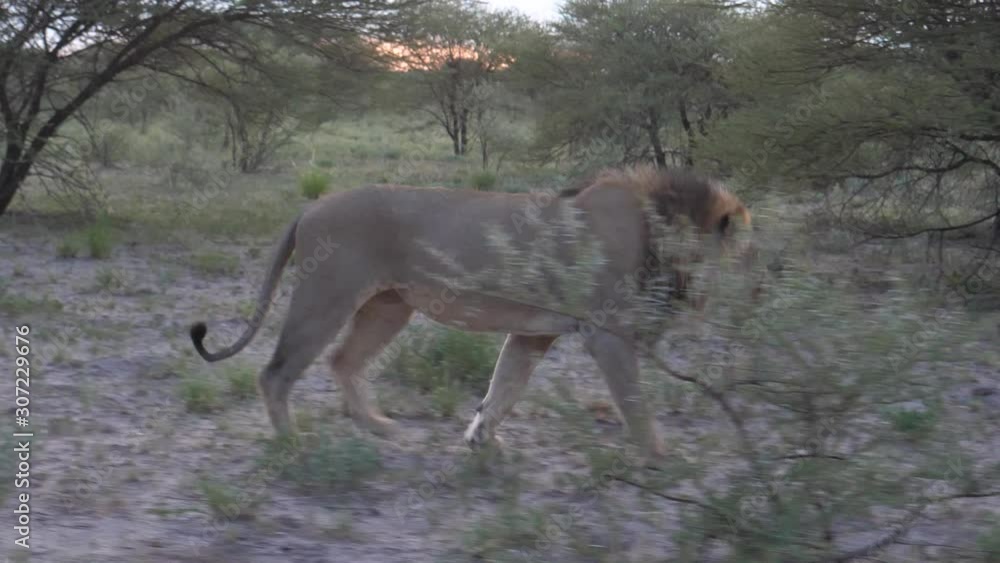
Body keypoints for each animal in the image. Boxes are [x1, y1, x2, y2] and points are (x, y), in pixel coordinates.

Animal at [190, 165, 753, 464]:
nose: (755, 293)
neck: (657, 229)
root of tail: (308, 207)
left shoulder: (535, 335)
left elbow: (504, 387)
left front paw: (483, 441)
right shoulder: (607, 335)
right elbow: (634, 403)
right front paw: (663, 457)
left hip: (388, 307)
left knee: (343, 362)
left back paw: (383, 429)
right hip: (325, 297)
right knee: (276, 372)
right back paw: (294, 446)